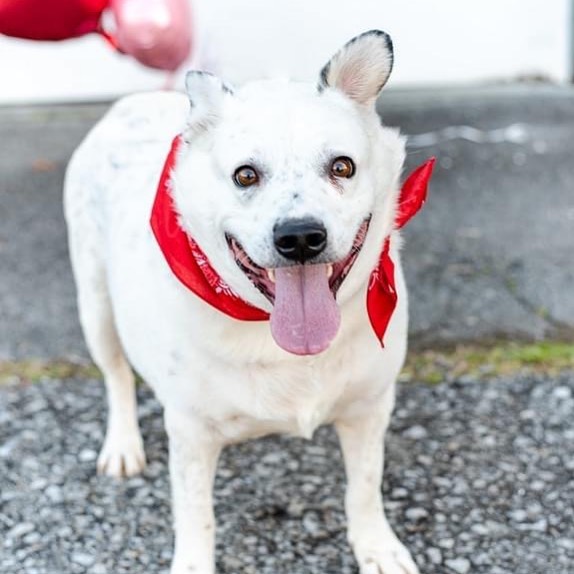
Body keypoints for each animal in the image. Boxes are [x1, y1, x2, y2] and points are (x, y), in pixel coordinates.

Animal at [64, 30, 432, 574]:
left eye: (342, 166)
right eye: (245, 176)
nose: (299, 237)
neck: (274, 336)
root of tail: (134, 102)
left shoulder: (370, 407)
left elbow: (364, 488)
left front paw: (377, 547)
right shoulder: (191, 433)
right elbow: (196, 516)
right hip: (95, 306)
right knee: (116, 378)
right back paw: (123, 445)